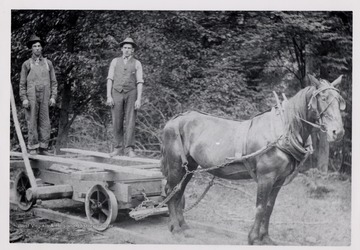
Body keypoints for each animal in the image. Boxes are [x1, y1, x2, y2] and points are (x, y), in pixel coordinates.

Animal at [161, 74, 346, 244]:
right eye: (323, 98)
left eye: (339, 101)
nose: (338, 132)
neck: (282, 132)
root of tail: (175, 120)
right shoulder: (266, 177)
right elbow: (260, 207)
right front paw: (254, 238)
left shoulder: (278, 180)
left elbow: (269, 208)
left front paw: (266, 238)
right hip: (176, 164)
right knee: (170, 191)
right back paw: (176, 228)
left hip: (190, 167)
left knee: (179, 192)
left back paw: (183, 225)